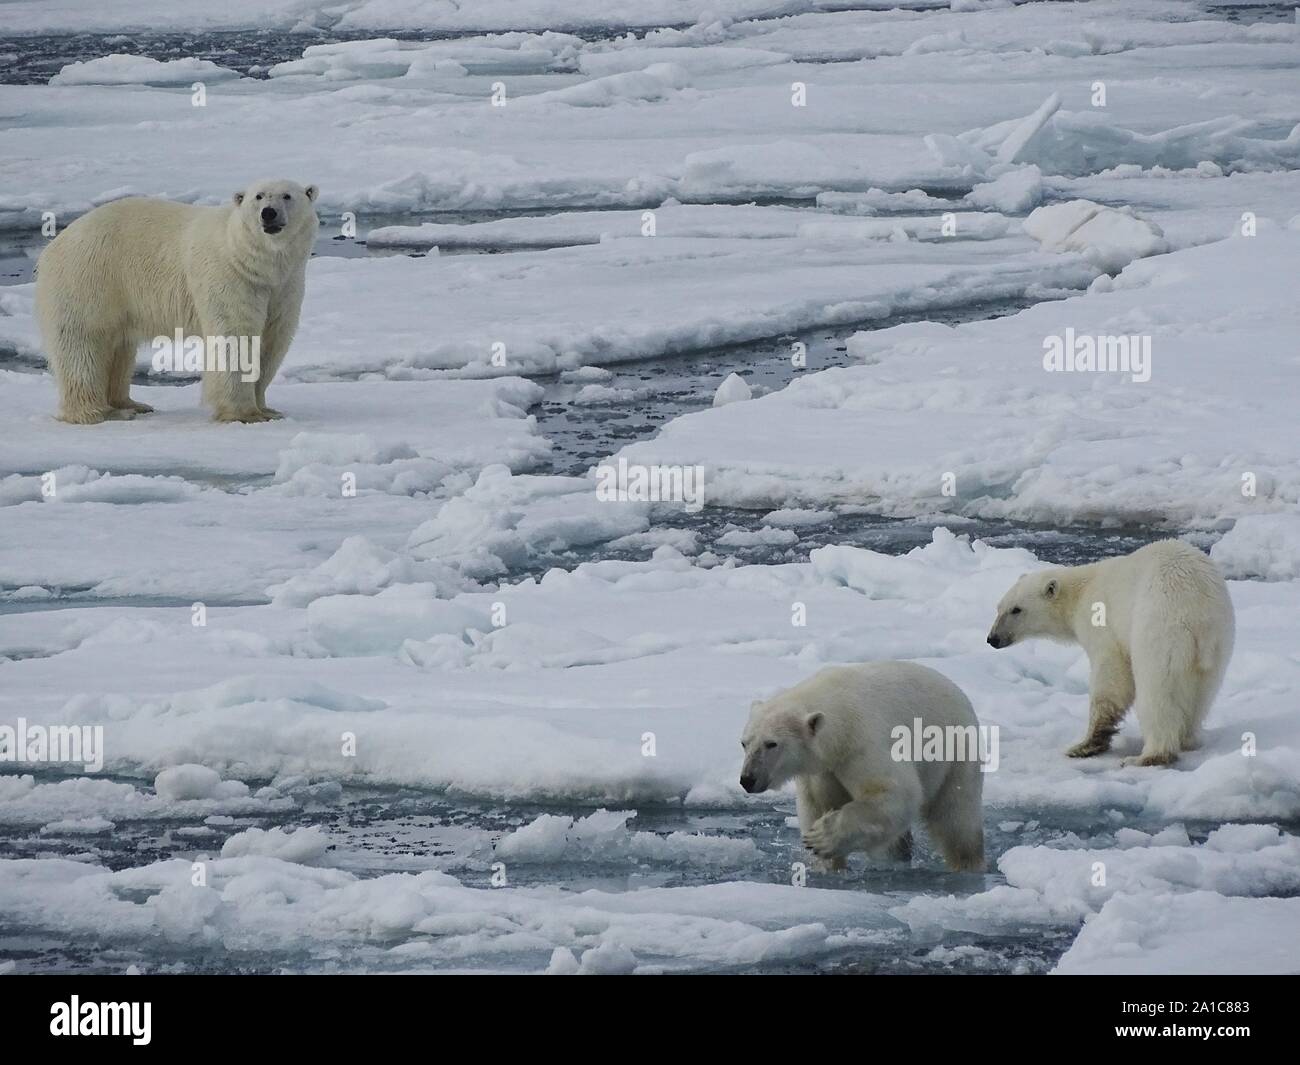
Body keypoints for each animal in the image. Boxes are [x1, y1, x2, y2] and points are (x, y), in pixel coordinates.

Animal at [34, 178, 319, 424]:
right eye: (258, 196)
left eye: (287, 196)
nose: (268, 213)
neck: (250, 261)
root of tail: (54, 245)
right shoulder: (230, 278)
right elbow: (235, 337)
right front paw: (245, 414)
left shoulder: (283, 286)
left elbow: (272, 339)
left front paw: (268, 409)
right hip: (90, 279)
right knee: (84, 343)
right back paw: (97, 412)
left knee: (119, 347)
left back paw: (130, 404)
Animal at [740, 661, 986, 873]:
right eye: (744, 743)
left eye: (771, 743)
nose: (747, 779)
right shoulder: (821, 771)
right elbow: (816, 805)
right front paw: (826, 865)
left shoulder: (862, 744)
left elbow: (896, 790)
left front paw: (822, 837)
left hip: (954, 753)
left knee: (956, 818)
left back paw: (966, 863)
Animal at [986, 539, 1234, 767]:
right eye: (999, 607)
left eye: (1016, 609)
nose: (992, 639)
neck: (1080, 591)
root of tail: (1199, 609)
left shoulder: (1104, 626)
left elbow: (1112, 679)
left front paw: (1084, 745)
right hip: (1218, 647)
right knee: (1200, 696)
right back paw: (1186, 739)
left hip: (1160, 629)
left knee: (1157, 692)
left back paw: (1147, 756)